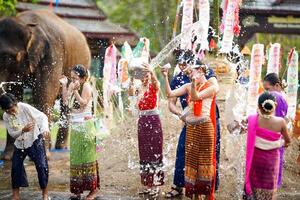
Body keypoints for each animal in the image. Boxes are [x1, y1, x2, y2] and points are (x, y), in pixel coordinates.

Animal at [0, 9, 91, 159]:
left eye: (12, 58)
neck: (25, 23)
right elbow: (14, 92)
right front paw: (8, 157)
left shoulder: (52, 53)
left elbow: (43, 94)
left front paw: (44, 154)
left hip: (84, 64)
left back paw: (61, 148)